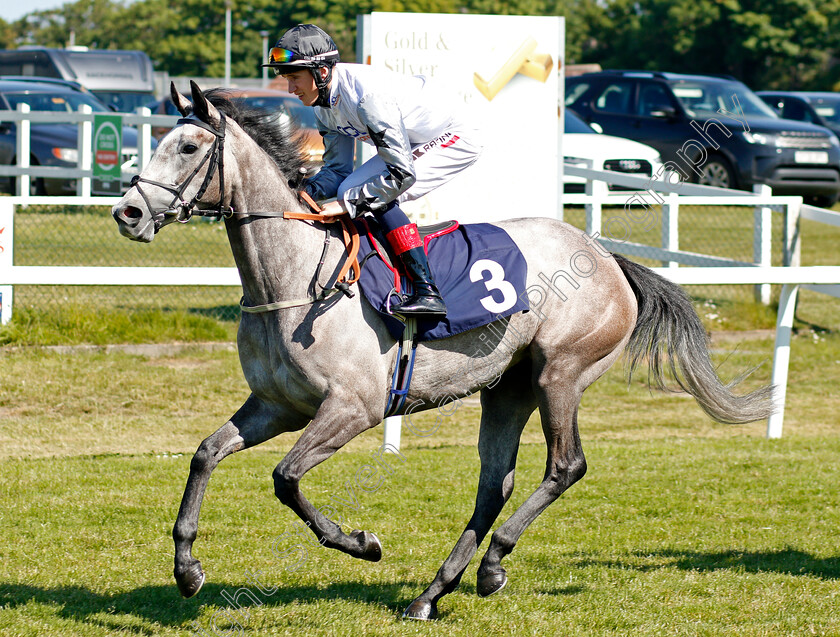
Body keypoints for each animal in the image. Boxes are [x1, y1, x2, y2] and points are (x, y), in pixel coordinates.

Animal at [111, 82, 776, 620]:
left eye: (189, 148)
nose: (128, 212)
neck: (293, 276)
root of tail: (606, 255)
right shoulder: (277, 406)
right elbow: (204, 455)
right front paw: (187, 570)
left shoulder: (353, 408)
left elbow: (286, 478)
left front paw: (362, 543)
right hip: (507, 388)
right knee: (494, 483)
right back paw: (433, 593)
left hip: (560, 373)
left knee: (565, 466)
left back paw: (492, 564)